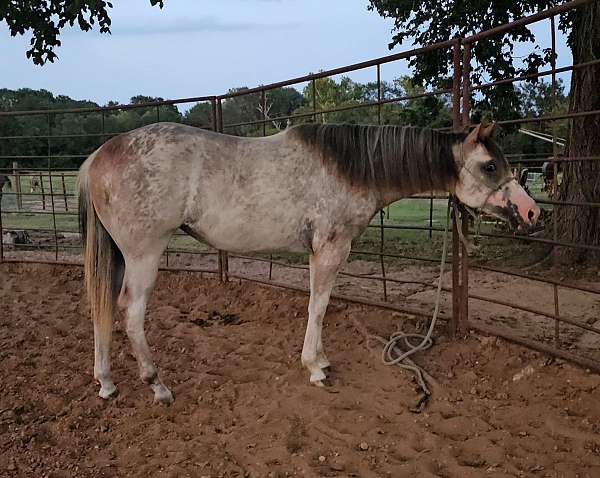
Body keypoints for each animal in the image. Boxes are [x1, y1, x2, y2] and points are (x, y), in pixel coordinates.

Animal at [77, 119, 540, 404]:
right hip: (144, 254)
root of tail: (98, 157)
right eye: (490, 165)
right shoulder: (331, 248)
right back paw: (157, 386)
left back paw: (107, 384)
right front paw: (316, 367)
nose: (532, 211)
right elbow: (319, 305)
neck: (352, 167)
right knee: (131, 313)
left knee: (103, 309)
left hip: (120, 257)